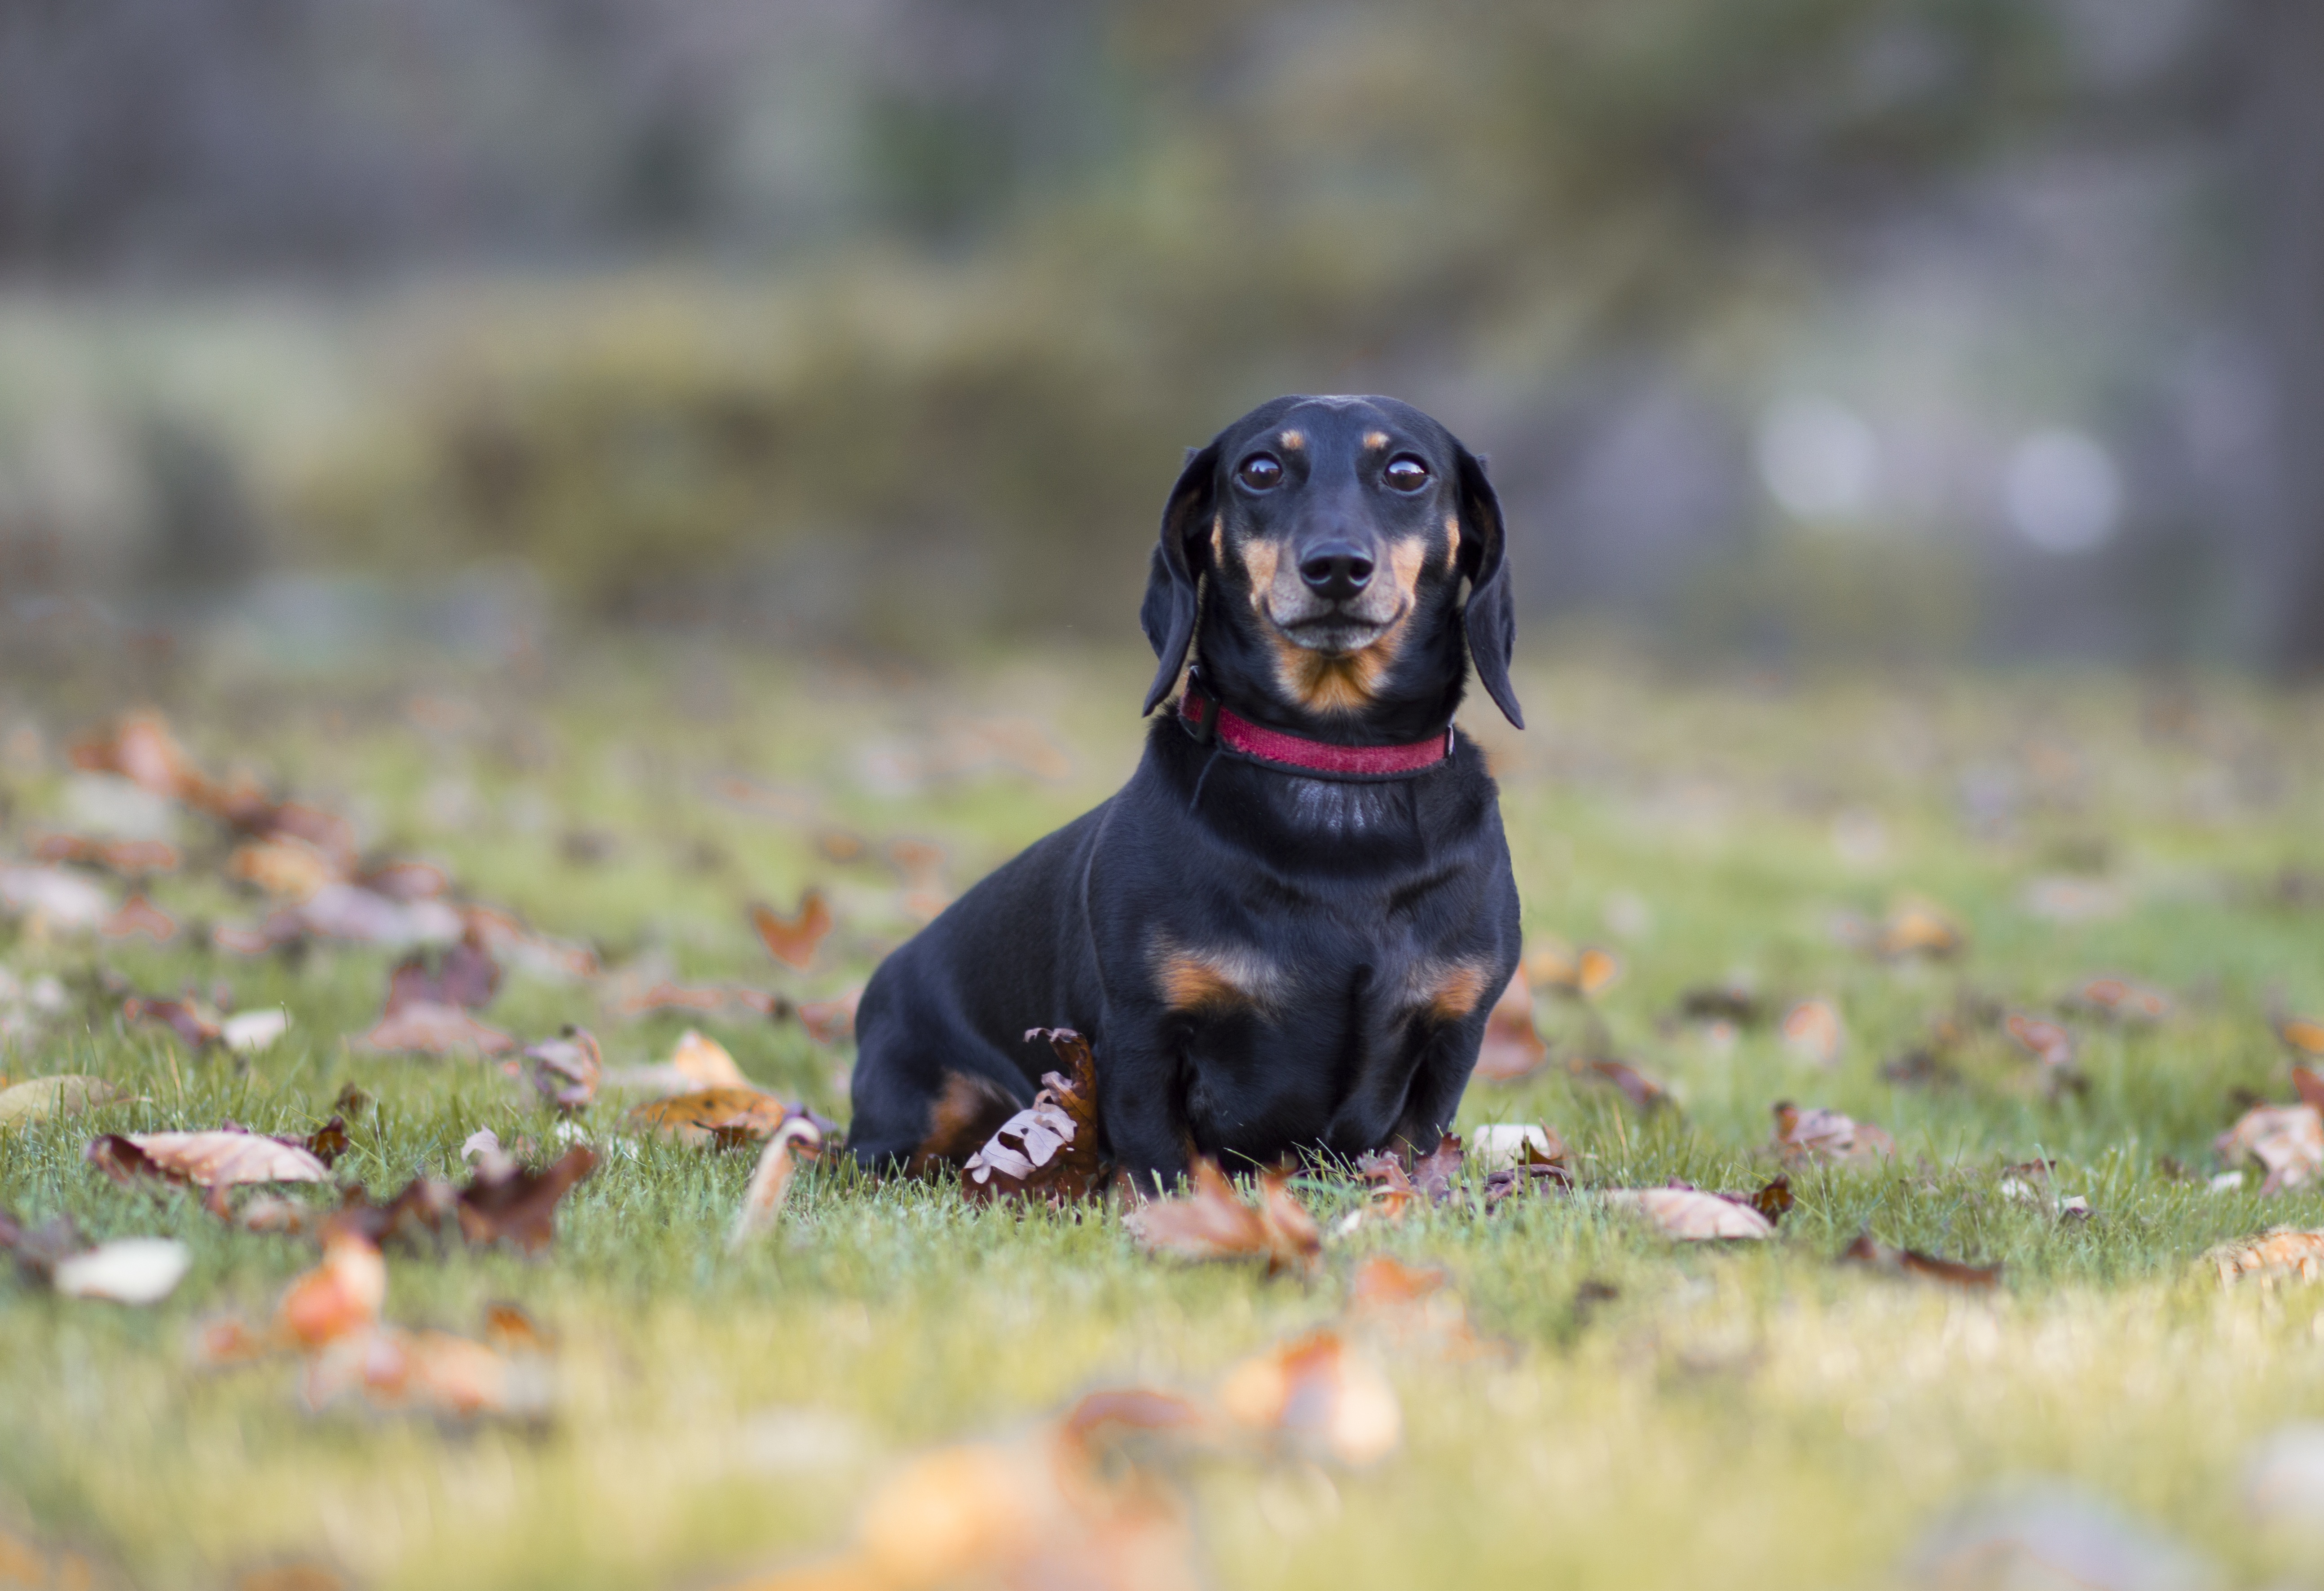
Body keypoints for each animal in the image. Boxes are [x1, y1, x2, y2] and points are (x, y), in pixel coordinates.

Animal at [846, 395, 1515, 1189]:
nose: (1336, 568)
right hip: (915, 1116)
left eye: (1408, 472)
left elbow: (1412, 1153)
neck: (1332, 765)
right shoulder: (1143, 1035)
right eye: (1260, 470)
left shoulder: (1452, 1037)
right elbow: (1163, 1168)